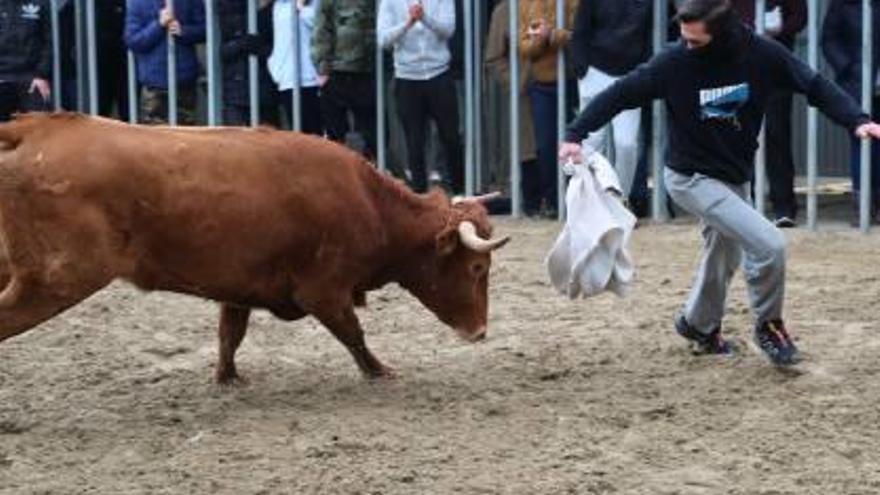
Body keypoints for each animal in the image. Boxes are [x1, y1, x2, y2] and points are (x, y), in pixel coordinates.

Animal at [0, 115, 508, 384]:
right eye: (477, 268)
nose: (480, 332)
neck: (368, 201)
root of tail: (34, 128)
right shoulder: (323, 291)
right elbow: (354, 333)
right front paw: (379, 371)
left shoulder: (237, 289)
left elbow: (231, 334)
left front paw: (227, 378)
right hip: (55, 280)